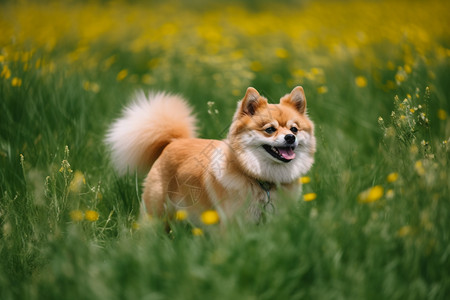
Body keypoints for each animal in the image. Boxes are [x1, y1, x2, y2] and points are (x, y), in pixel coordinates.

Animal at [106, 86, 316, 223]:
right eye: (270, 129)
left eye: (294, 129)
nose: (290, 137)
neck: (263, 181)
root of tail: (174, 141)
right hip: (156, 213)